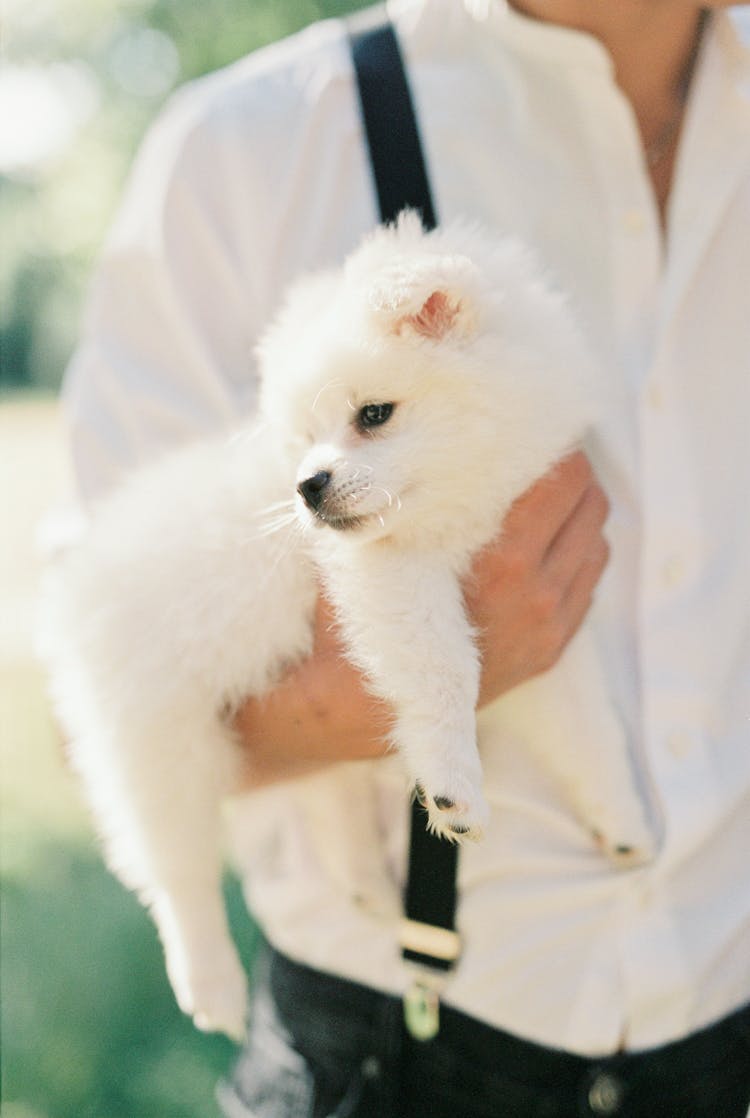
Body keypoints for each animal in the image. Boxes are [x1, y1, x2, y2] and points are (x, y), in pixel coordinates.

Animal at [39, 215, 652, 1037]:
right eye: (303, 437)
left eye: (373, 414)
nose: (307, 487)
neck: (464, 503)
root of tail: (75, 577)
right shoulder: (392, 575)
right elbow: (444, 671)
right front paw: (455, 786)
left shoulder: (546, 621)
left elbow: (588, 728)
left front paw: (623, 822)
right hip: (158, 736)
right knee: (175, 867)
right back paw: (211, 980)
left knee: (320, 795)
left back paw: (364, 883)